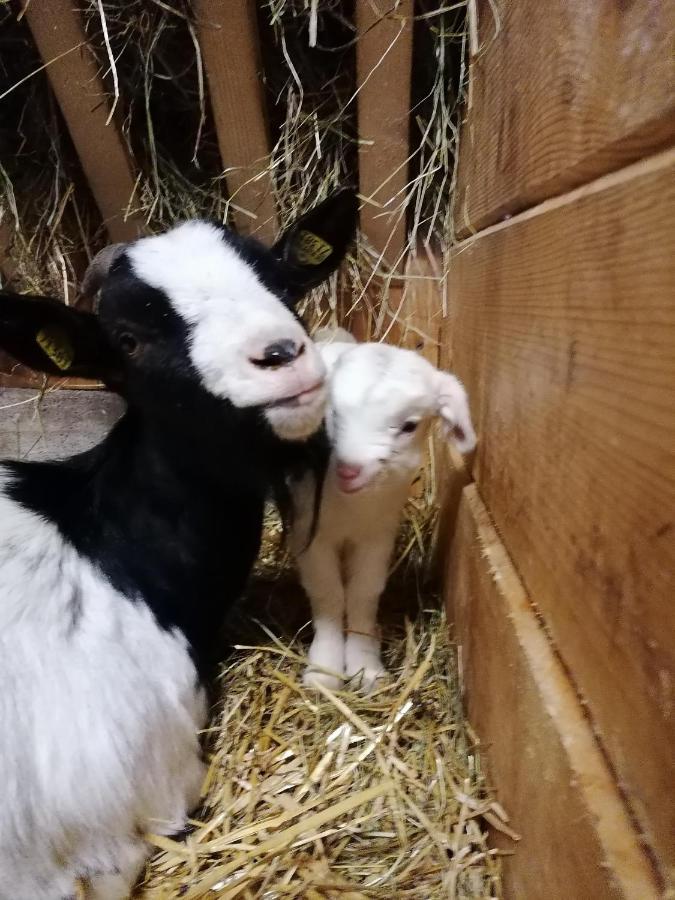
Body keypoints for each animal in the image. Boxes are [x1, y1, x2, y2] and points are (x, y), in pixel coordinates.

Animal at [290, 330, 476, 688]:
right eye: (332, 414)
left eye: (409, 425)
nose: (349, 470)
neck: (351, 506)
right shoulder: (311, 534)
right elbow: (328, 594)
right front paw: (324, 671)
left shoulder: (378, 534)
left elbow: (363, 592)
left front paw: (365, 666)